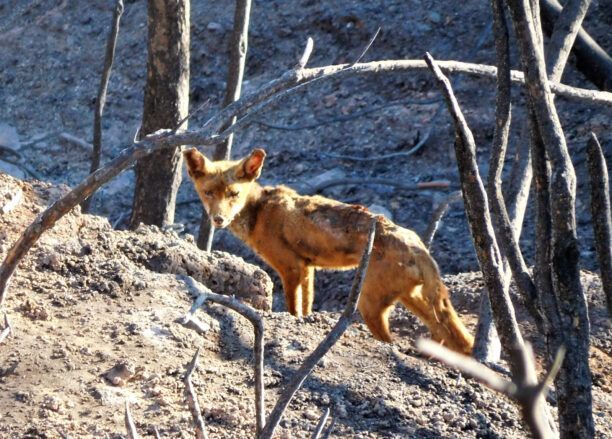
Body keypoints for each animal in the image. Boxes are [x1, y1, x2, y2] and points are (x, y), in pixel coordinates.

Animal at [184, 147, 476, 354]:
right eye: (209, 193)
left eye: (233, 194)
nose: (218, 219)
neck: (260, 211)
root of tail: (417, 244)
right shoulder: (308, 269)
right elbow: (306, 308)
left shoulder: (290, 268)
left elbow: (293, 310)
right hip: (409, 299)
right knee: (452, 338)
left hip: (369, 305)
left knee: (396, 339)